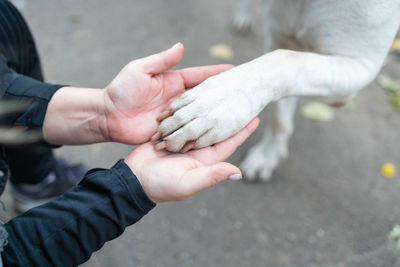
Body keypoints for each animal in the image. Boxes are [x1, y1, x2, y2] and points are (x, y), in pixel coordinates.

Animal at [152, 0, 400, 182]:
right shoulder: (279, 37)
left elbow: (285, 60)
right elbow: (279, 115)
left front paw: (213, 106)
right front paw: (268, 156)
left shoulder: (362, 65)